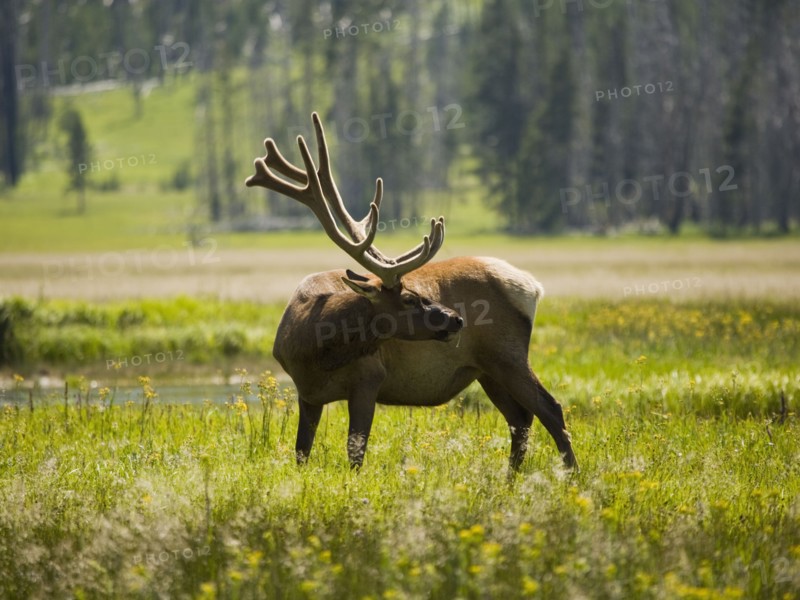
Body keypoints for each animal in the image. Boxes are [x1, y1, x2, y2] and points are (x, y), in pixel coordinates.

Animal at [245, 112, 577, 472]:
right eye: (409, 298)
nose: (456, 319)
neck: (314, 347)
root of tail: (532, 287)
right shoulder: (306, 393)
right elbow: (301, 452)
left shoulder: (369, 378)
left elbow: (355, 452)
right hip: (486, 369)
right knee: (521, 418)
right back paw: (512, 478)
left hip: (507, 354)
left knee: (550, 408)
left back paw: (571, 474)